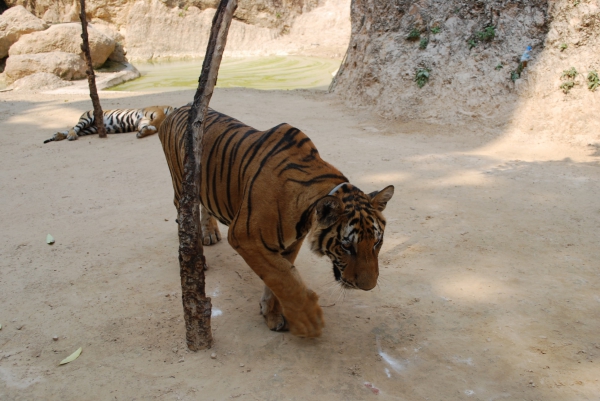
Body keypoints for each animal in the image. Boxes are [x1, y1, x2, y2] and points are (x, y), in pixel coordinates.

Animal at [43, 106, 175, 144]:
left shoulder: (142, 122)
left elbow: (148, 128)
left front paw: (142, 133)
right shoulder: (152, 111)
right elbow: (158, 120)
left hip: (90, 129)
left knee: (74, 129)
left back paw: (57, 135)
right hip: (87, 118)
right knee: (74, 128)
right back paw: (70, 136)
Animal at [159, 106, 394, 338]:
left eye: (377, 243)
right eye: (346, 246)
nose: (368, 287)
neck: (306, 212)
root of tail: (176, 109)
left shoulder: (290, 243)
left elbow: (279, 278)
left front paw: (272, 315)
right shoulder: (244, 237)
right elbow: (285, 279)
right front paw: (308, 319)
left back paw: (209, 234)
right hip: (182, 188)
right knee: (184, 222)